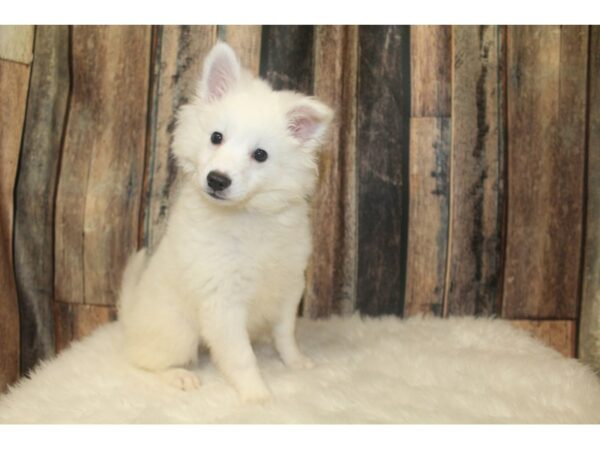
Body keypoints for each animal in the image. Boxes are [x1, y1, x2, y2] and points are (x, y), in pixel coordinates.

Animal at [117, 42, 332, 400]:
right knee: (140, 361)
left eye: (260, 155)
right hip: (177, 332)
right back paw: (178, 376)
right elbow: (241, 357)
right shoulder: (222, 303)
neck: (247, 215)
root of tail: (128, 316)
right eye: (216, 137)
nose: (217, 179)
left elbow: (285, 334)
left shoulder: (288, 286)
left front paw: (296, 362)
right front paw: (258, 396)